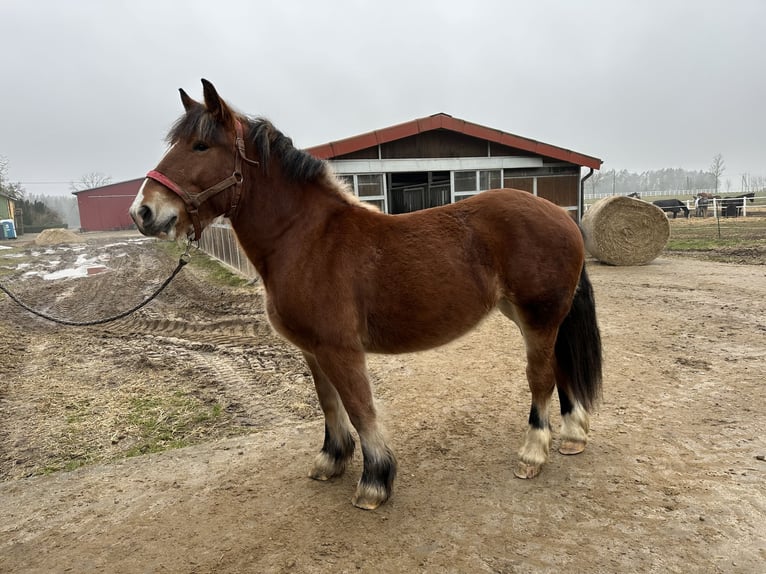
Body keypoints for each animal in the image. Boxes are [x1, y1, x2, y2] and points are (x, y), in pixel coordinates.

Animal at [129, 79, 604, 510]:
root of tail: (560, 215)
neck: (307, 239)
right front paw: (332, 460)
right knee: (560, 369)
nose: (143, 212)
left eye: (201, 146)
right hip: (535, 317)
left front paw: (375, 481)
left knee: (540, 377)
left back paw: (533, 453)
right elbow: (329, 404)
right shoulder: (312, 349)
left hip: (539, 316)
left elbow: (359, 408)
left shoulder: (340, 348)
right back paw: (572, 435)